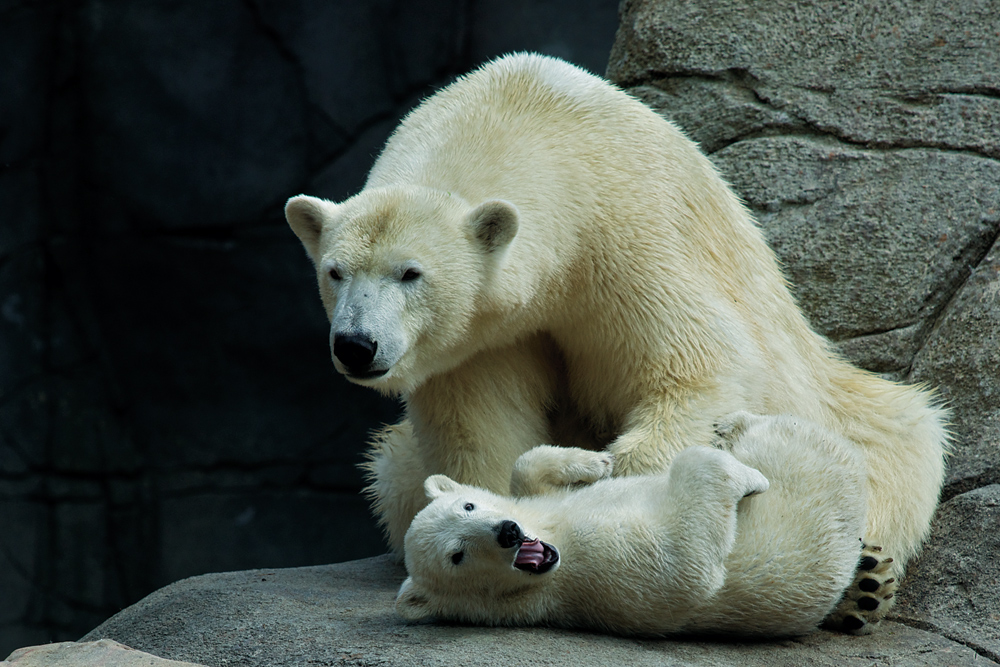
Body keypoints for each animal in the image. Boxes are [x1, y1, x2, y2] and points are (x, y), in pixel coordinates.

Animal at [286, 53, 948, 632]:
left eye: (411, 273)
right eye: (335, 272)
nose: (356, 345)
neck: (531, 118)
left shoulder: (627, 230)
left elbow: (695, 368)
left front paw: (607, 484)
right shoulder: (479, 342)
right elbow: (478, 428)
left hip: (829, 394)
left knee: (892, 440)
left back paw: (862, 579)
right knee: (393, 470)